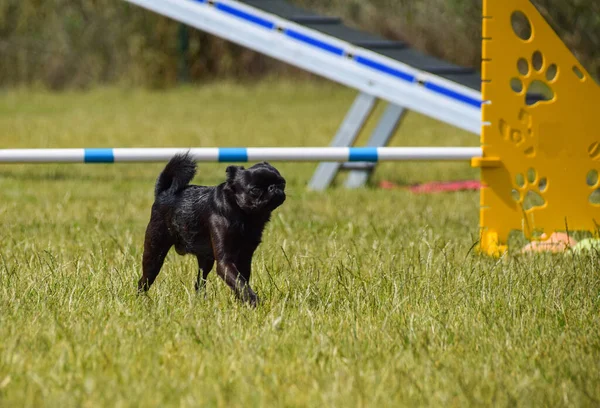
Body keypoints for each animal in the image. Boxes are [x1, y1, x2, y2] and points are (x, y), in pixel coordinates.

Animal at [138, 154, 286, 306]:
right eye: (255, 190)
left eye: (282, 183)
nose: (273, 187)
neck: (245, 215)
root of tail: (164, 192)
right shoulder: (224, 262)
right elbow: (240, 283)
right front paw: (254, 302)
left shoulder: (245, 257)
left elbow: (241, 281)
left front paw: (240, 303)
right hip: (155, 253)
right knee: (144, 281)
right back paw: (140, 300)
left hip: (205, 259)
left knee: (200, 282)